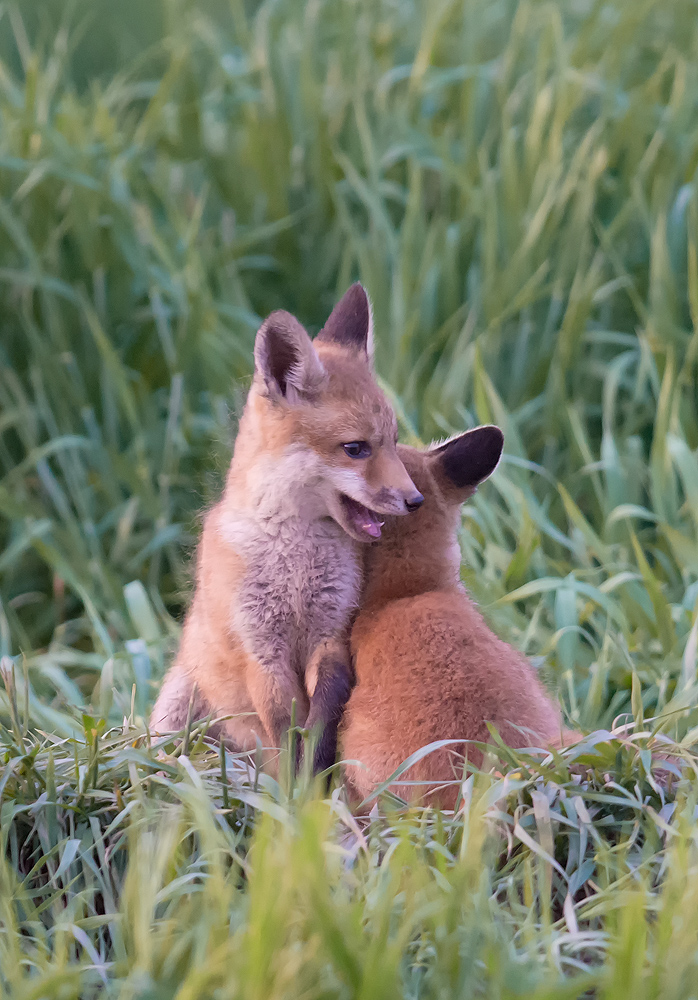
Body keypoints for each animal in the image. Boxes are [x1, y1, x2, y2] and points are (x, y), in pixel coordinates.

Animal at [150, 283, 423, 773]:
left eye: (393, 442)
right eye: (356, 449)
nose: (415, 501)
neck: (294, 560)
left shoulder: (331, 635)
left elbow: (323, 718)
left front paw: (316, 781)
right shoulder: (261, 651)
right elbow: (283, 729)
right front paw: (290, 788)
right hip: (175, 705)